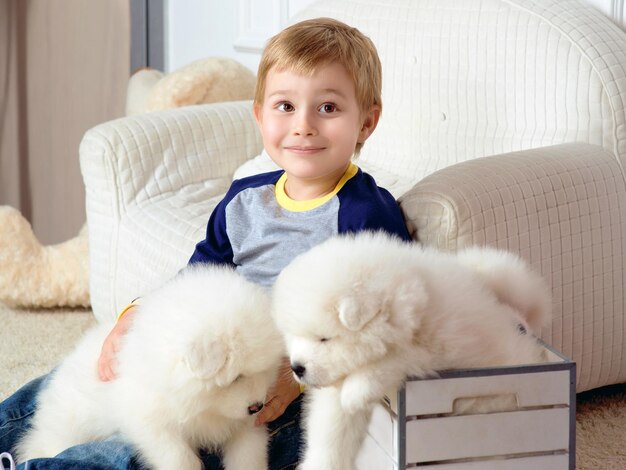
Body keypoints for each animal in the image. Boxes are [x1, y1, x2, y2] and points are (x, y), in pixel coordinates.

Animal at [15, 264, 282, 470]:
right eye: (237, 377)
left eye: (265, 371)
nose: (257, 406)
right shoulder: (151, 424)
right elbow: (180, 458)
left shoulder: (244, 426)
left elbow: (248, 455)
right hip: (71, 427)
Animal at [270, 232, 548, 470]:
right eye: (293, 336)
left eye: (324, 338)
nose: (297, 368)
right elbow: (331, 432)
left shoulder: (438, 350)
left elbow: (396, 360)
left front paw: (357, 390)